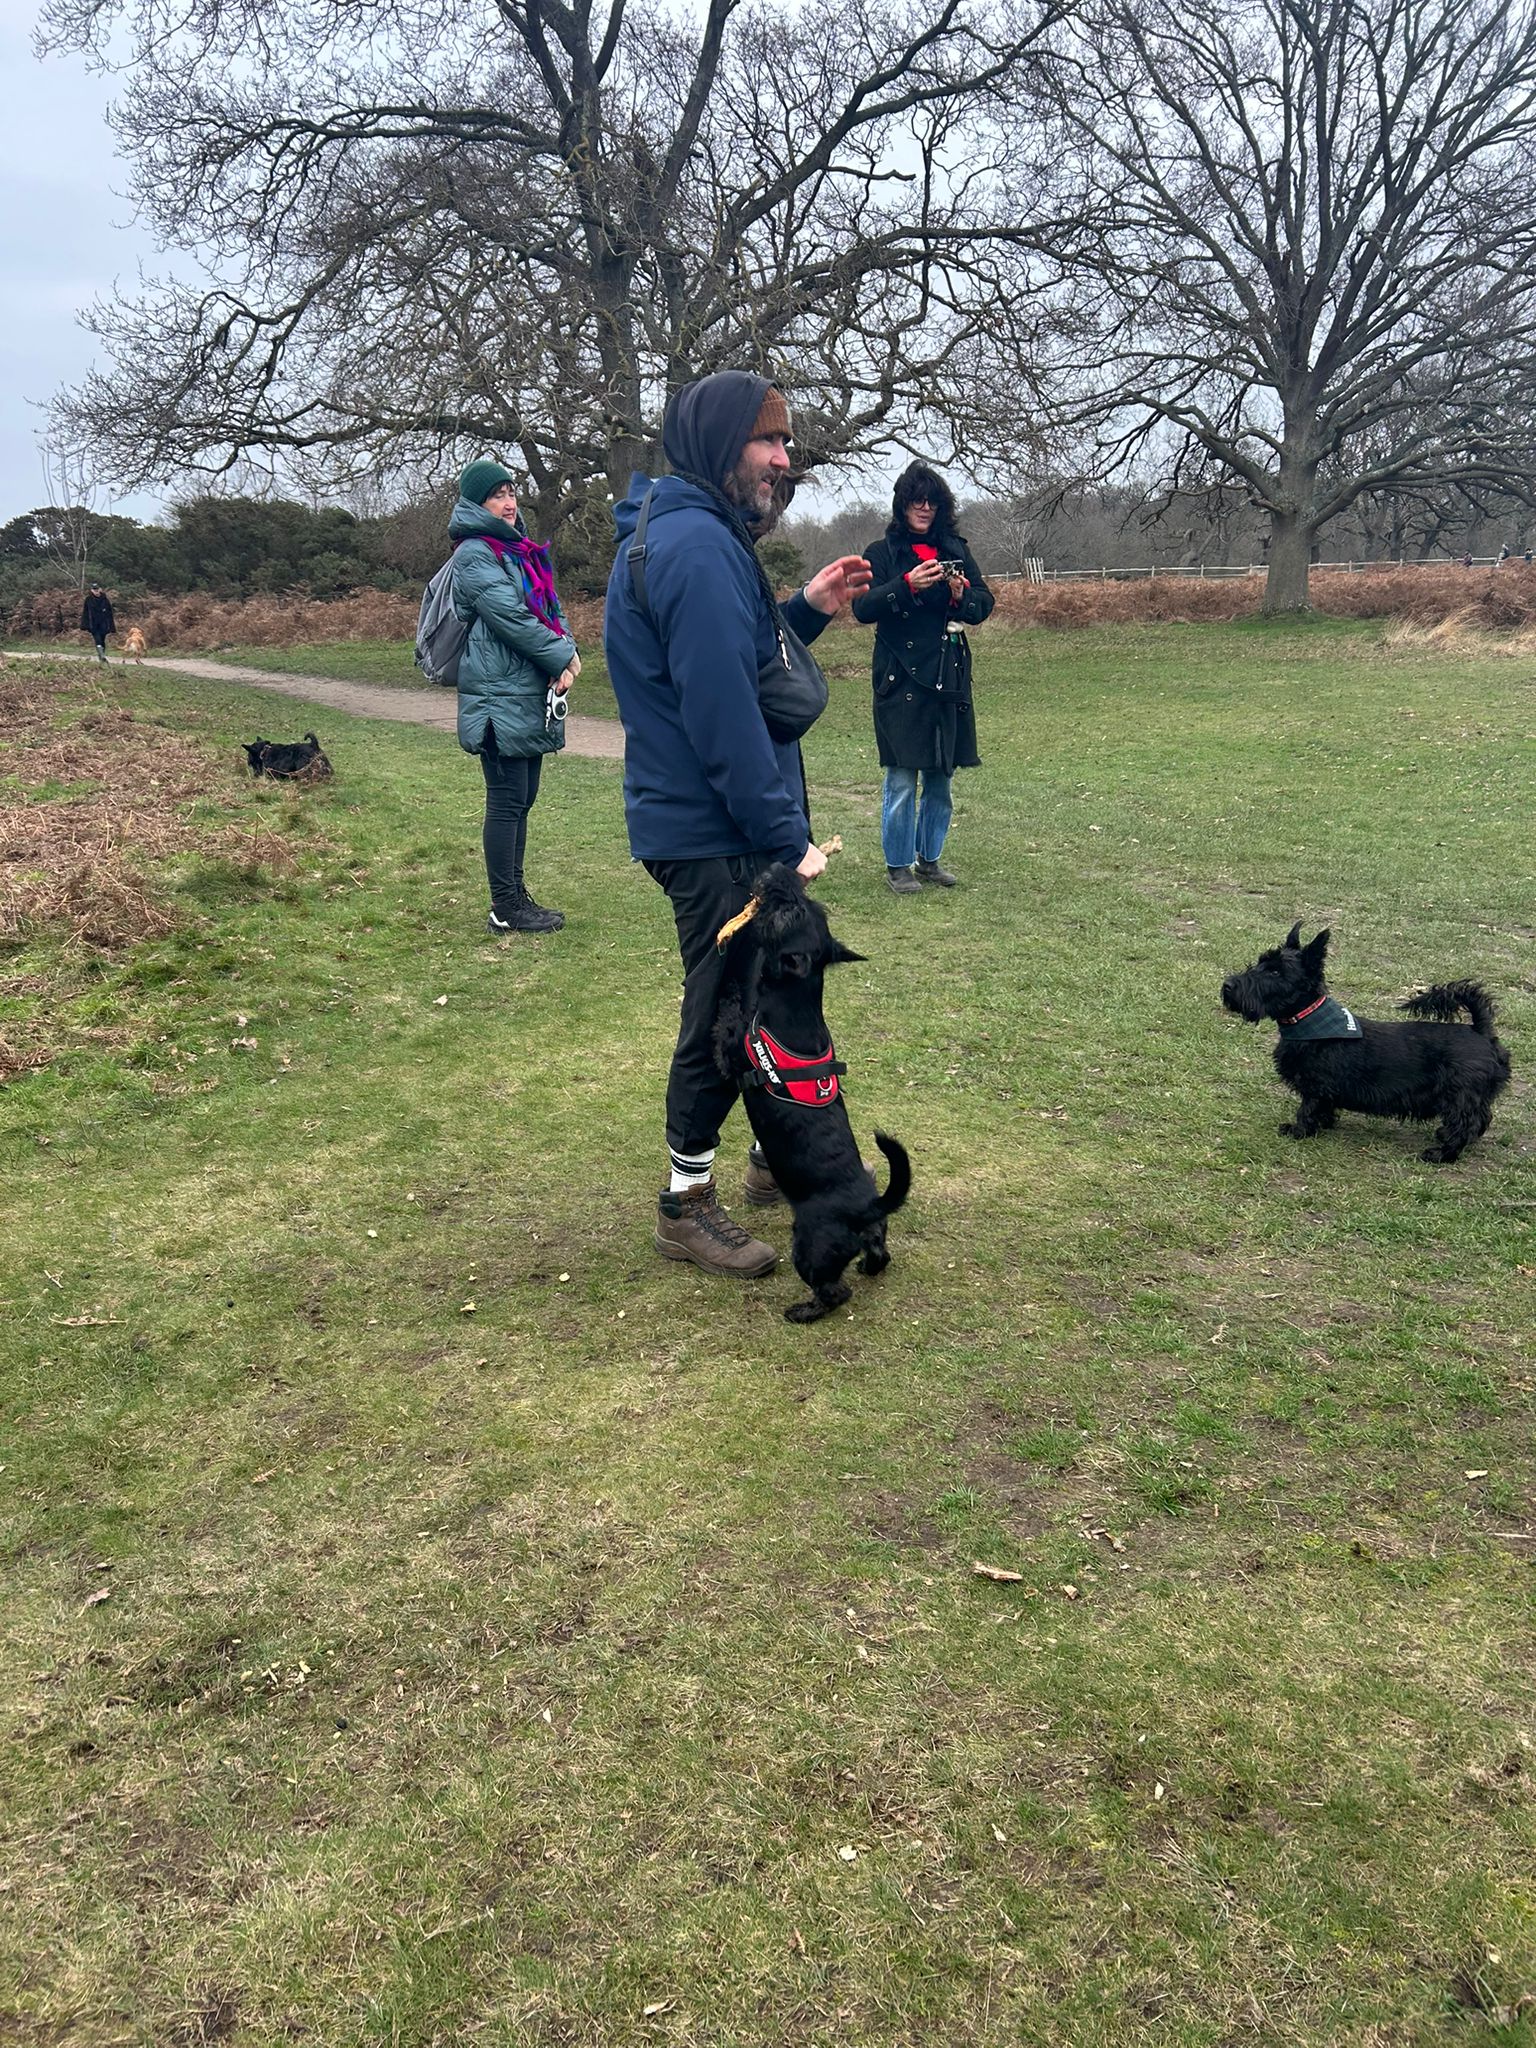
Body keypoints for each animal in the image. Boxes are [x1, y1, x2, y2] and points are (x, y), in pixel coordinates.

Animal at [714, 864, 911, 1321]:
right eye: (810, 905)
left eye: (792, 911)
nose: (780, 868)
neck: (796, 1003)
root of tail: (867, 1207)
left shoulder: (733, 1055)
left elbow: (730, 1018)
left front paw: (731, 994)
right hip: (874, 1233)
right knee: (880, 1254)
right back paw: (868, 1266)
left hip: (810, 1247)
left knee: (835, 1291)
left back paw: (804, 1311)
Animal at [1221, 923, 1510, 1162]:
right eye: (1261, 962)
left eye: (1276, 971)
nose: (1227, 985)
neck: (1308, 1019)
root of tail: (1480, 1030)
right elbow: (1324, 1108)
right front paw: (1325, 1124)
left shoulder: (1316, 1086)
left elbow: (1308, 1108)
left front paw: (1298, 1130)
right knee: (1481, 1119)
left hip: (1458, 1096)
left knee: (1465, 1124)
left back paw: (1442, 1154)